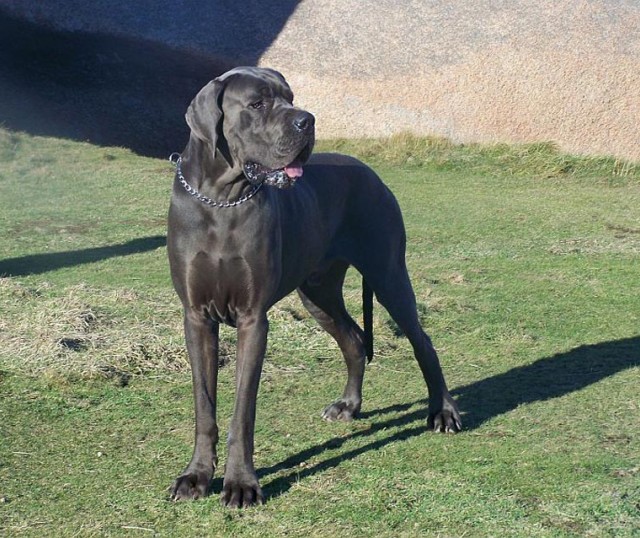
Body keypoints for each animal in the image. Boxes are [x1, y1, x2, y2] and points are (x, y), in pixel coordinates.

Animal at [168, 67, 462, 506]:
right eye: (257, 103)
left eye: (291, 97)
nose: (307, 121)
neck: (222, 198)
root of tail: (369, 171)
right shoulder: (197, 317)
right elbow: (205, 406)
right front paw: (196, 476)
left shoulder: (253, 319)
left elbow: (243, 411)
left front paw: (241, 483)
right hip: (318, 293)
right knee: (354, 339)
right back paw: (348, 405)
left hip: (388, 273)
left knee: (421, 340)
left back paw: (442, 411)